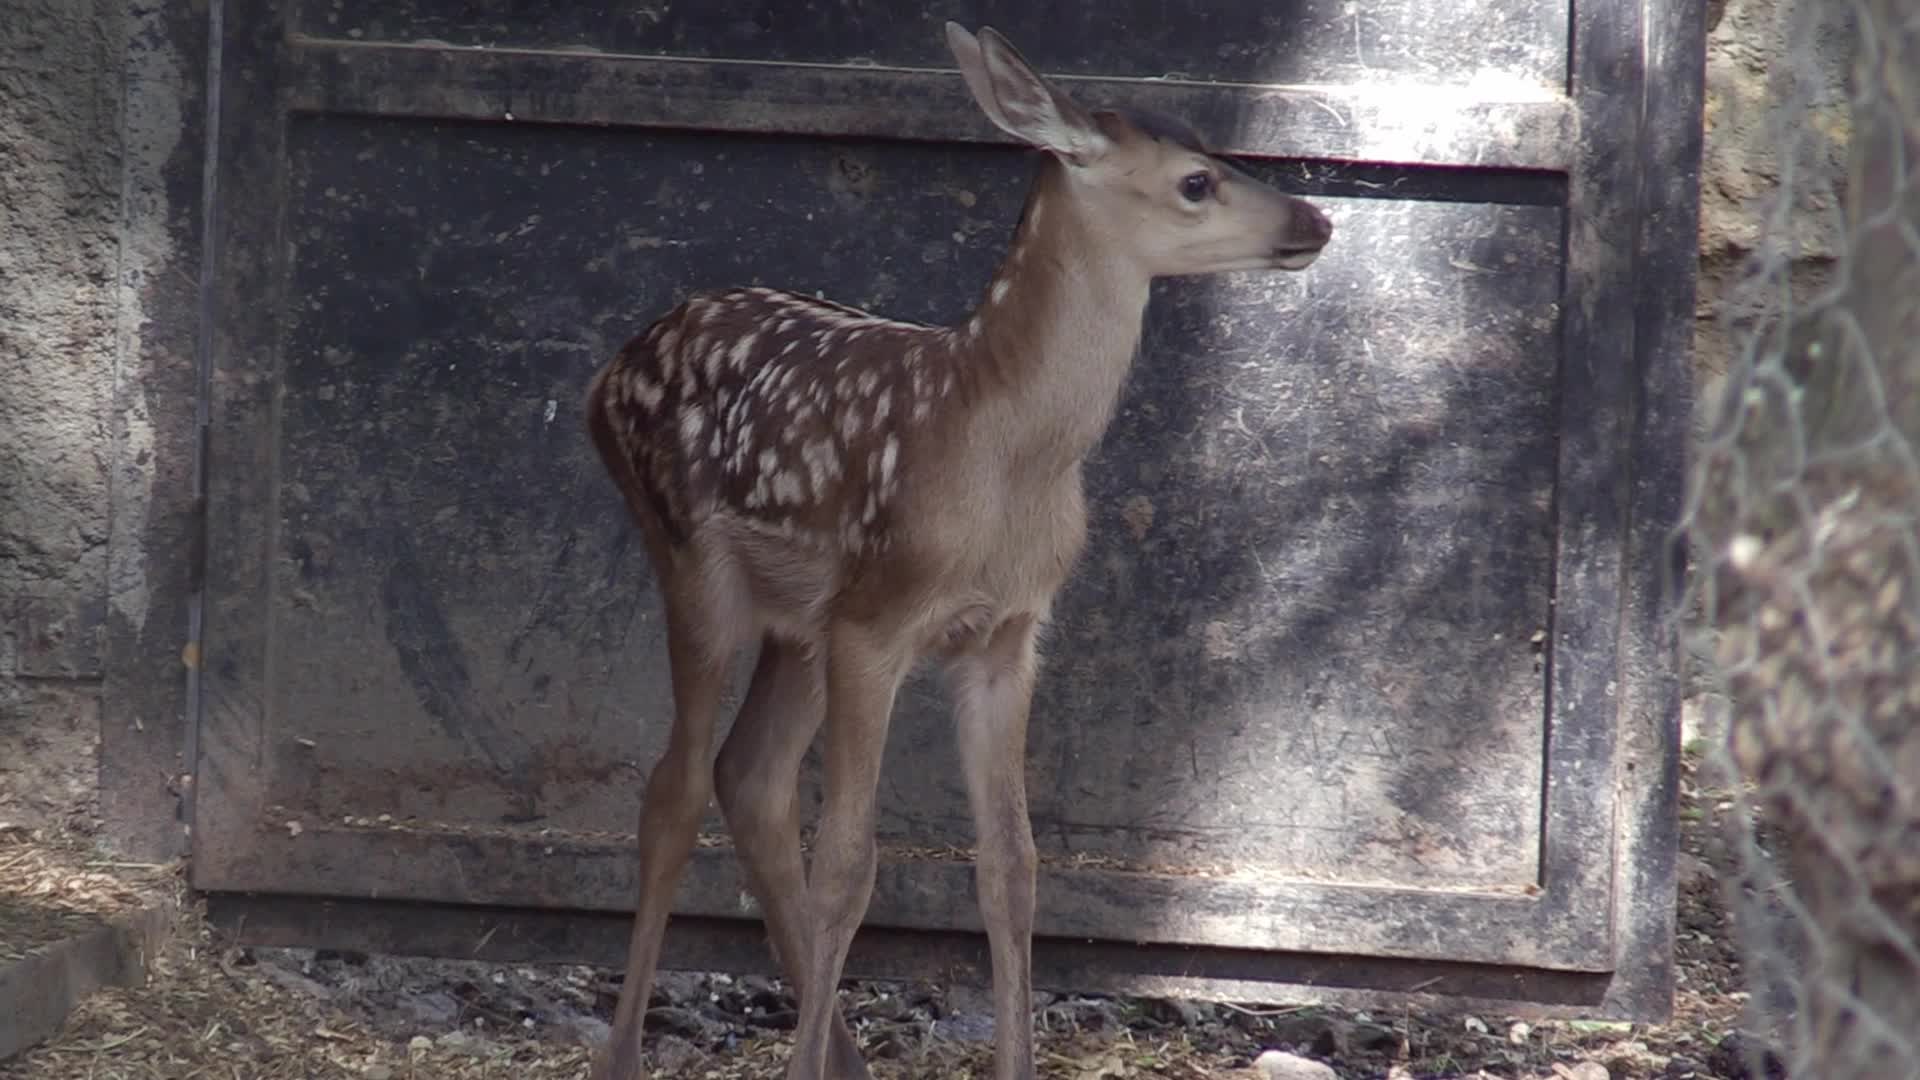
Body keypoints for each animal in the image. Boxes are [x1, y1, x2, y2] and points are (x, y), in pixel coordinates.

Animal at [582, 21, 1332, 1080]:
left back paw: (844, 1057)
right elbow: (848, 863)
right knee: (675, 790)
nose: (1315, 217)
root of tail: (606, 374)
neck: (1003, 452)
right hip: (692, 563)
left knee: (751, 778)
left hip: (802, 618)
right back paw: (629, 1053)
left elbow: (1012, 866)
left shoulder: (1005, 634)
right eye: (1196, 181)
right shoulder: (879, 622)